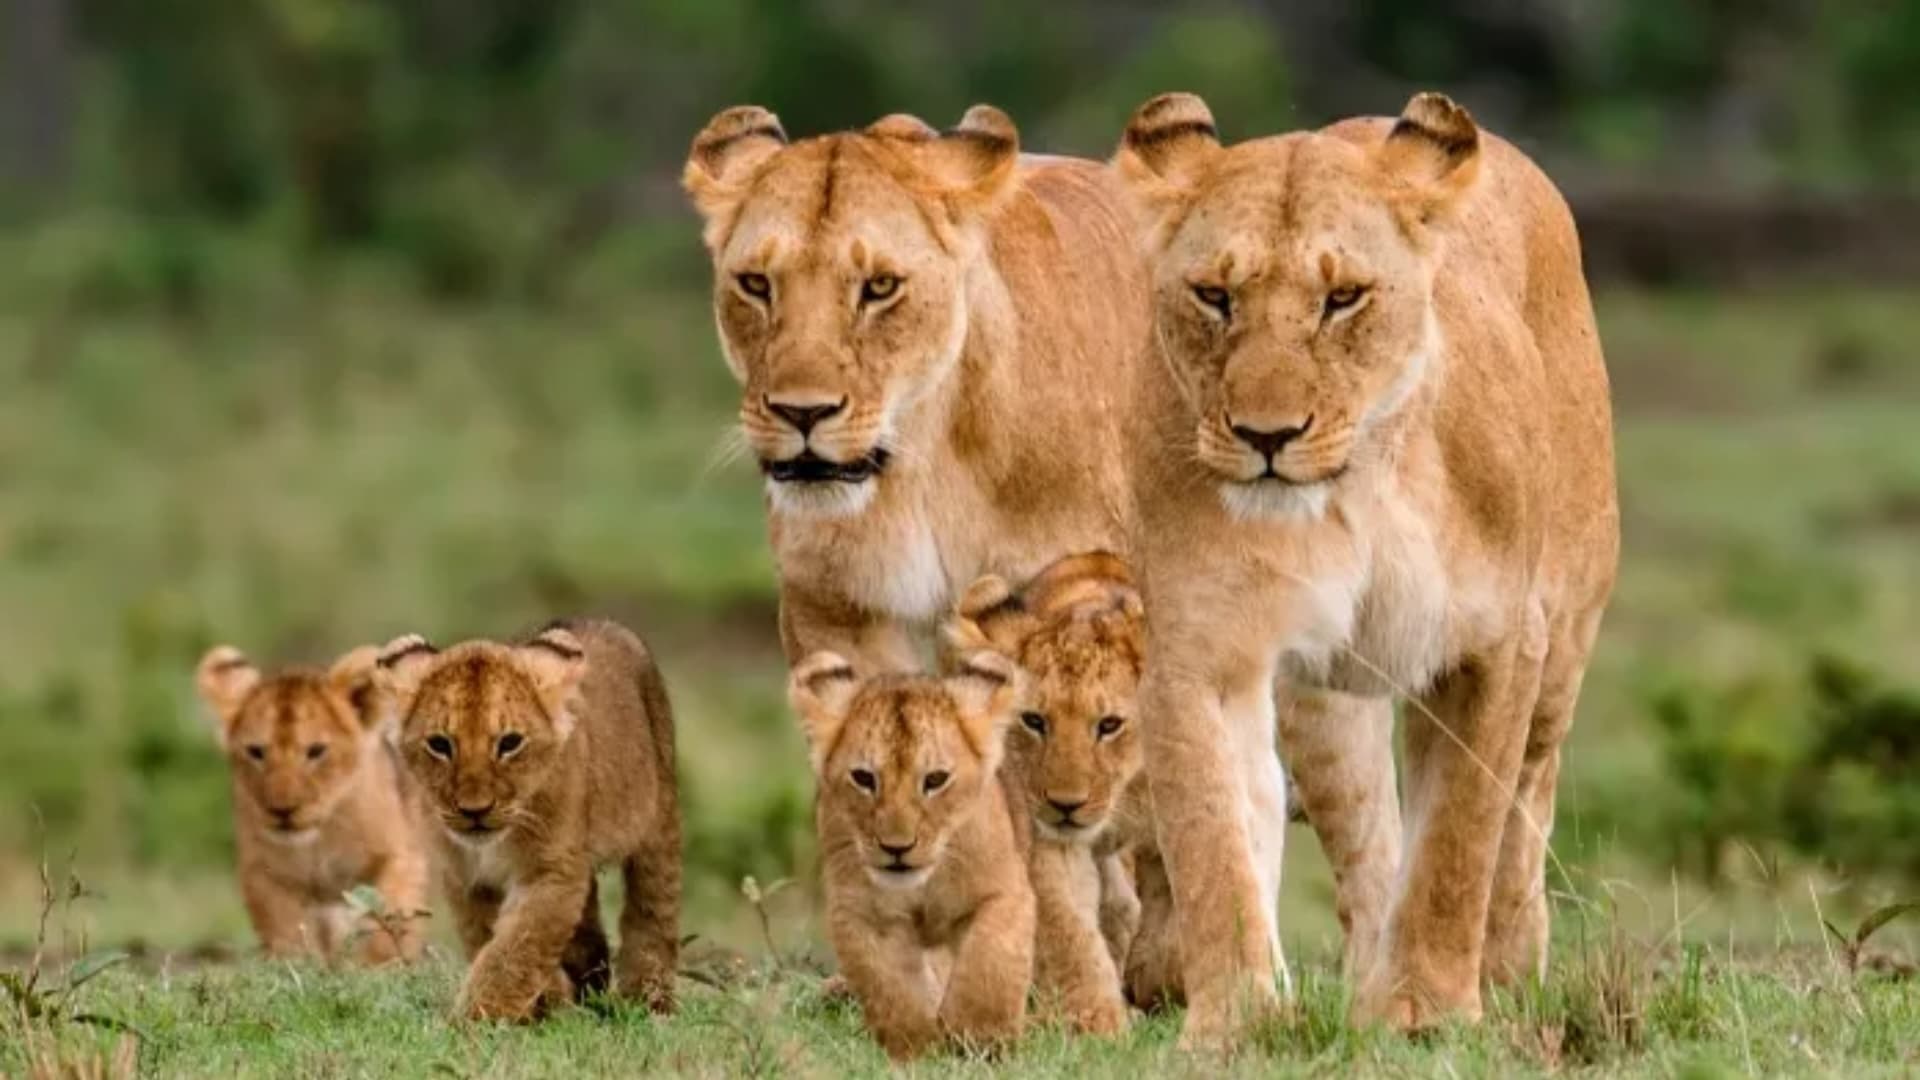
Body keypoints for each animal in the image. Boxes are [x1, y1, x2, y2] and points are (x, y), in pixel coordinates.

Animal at [194, 644, 429, 966]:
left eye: (316, 751)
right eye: (256, 751)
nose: (282, 810)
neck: (316, 842)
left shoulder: (397, 856)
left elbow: (390, 917)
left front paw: (382, 968)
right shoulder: (264, 874)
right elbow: (287, 932)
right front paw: (297, 968)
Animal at [374, 619, 681, 1021]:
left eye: (510, 743)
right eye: (440, 744)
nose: (475, 810)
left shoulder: (550, 871)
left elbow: (516, 947)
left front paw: (476, 1019)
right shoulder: (467, 879)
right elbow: (495, 942)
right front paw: (550, 999)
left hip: (658, 818)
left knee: (654, 908)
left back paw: (647, 1000)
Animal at [789, 649, 1035, 1060]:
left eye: (935, 780)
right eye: (864, 778)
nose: (897, 848)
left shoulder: (1002, 892)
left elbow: (988, 965)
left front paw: (979, 1043)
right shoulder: (867, 915)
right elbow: (892, 989)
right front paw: (916, 1051)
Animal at [1112, 91, 1618, 1038]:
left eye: (1342, 298)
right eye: (1214, 296)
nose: (1267, 436)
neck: (1351, 494)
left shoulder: (1496, 645)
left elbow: (1460, 838)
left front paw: (1429, 1009)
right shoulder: (1198, 651)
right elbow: (1213, 841)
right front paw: (1238, 1020)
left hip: (1565, 639)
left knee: (1527, 802)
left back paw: (1506, 967)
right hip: (1325, 707)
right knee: (1368, 845)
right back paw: (1363, 983)